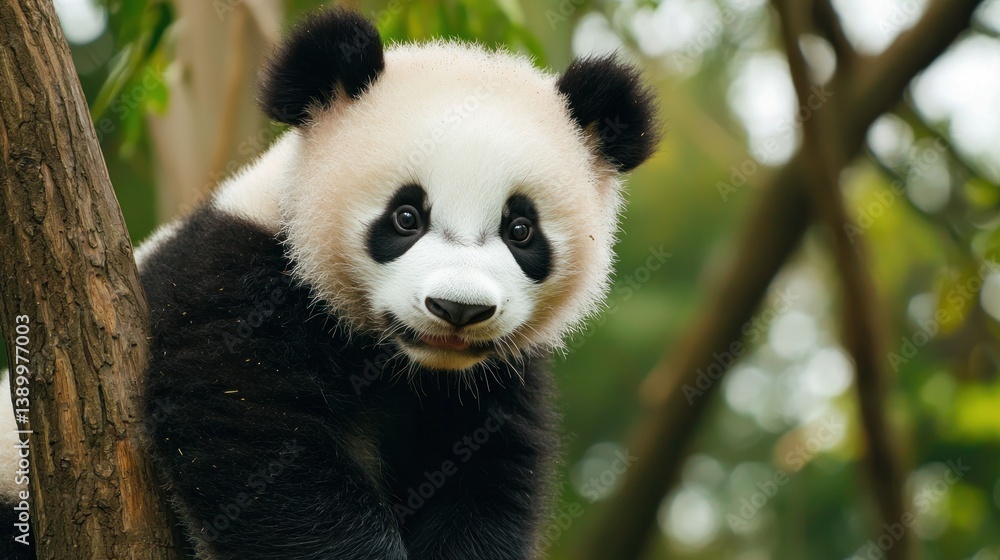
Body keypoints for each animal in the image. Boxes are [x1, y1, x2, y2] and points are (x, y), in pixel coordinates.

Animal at [3, 7, 658, 559]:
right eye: (405, 217)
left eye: (520, 229)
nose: (457, 308)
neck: (396, 362)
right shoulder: (234, 286)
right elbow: (259, 446)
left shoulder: (491, 386)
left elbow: (484, 483)